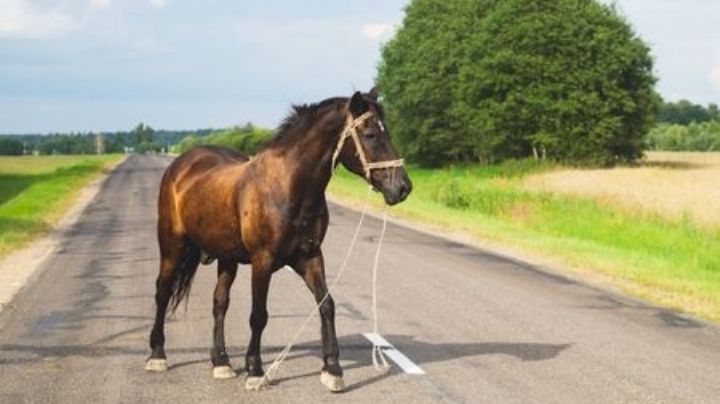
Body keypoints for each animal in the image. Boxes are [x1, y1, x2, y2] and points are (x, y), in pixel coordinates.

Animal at [145, 89, 410, 392]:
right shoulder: (263, 261)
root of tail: (180, 165)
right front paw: (255, 370)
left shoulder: (310, 257)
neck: (288, 187)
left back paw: (221, 361)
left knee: (219, 302)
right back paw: (157, 355)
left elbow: (327, 306)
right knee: (163, 292)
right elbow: (259, 315)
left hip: (227, 257)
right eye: (370, 134)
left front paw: (332, 369)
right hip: (171, 246)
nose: (403, 187)